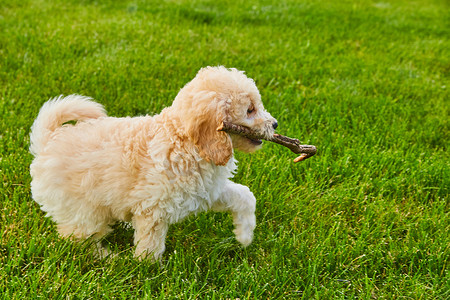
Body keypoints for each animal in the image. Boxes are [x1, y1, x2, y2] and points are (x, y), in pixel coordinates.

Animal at [29, 66, 278, 260]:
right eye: (250, 110)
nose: (275, 124)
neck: (185, 140)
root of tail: (48, 141)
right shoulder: (154, 208)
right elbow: (151, 244)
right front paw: (148, 271)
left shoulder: (207, 192)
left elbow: (245, 196)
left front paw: (245, 235)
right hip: (83, 210)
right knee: (77, 238)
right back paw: (107, 257)